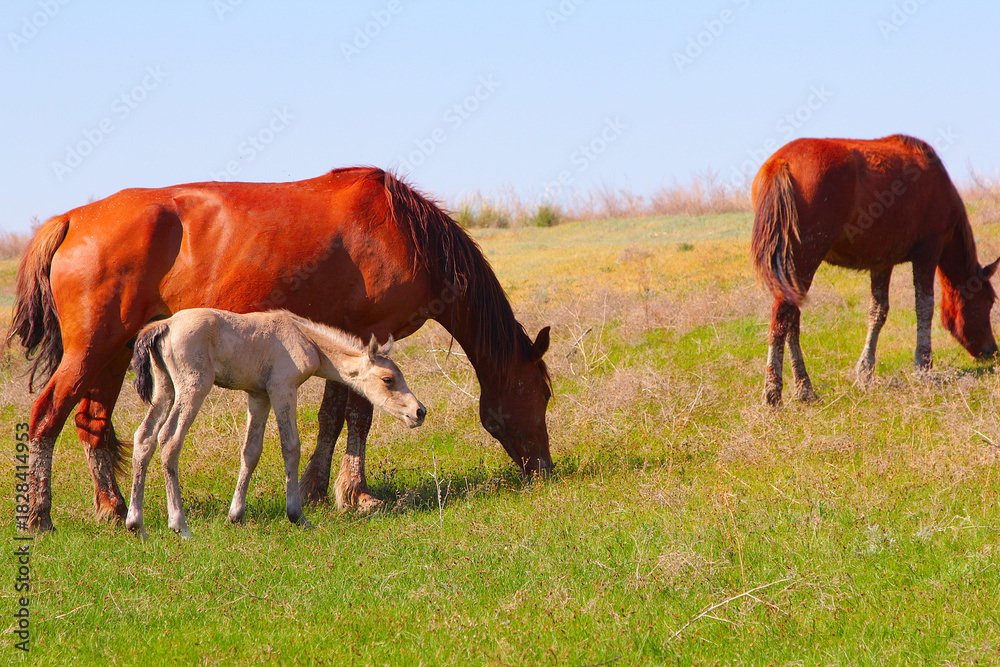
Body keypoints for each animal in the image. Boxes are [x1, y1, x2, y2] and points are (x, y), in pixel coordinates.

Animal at [125, 309, 425, 538]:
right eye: (388, 379)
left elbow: (251, 452)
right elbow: (291, 447)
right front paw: (297, 515)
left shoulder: (258, 396)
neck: (306, 338)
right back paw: (179, 524)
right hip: (193, 387)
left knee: (144, 438)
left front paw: (237, 515)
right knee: (169, 440)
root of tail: (164, 325)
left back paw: (135, 523)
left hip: (165, 389)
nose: (419, 411)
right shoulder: (283, 388)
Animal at [751, 134, 999, 406]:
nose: (992, 350)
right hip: (805, 259)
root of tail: (781, 163)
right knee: (783, 317)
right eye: (989, 302)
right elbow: (924, 307)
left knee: (791, 320)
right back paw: (774, 391)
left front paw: (865, 371)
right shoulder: (928, 252)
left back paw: (804, 387)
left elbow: (878, 312)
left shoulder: (881, 263)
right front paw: (923, 365)